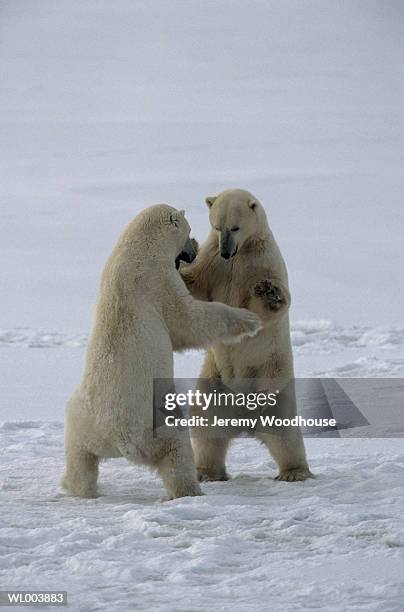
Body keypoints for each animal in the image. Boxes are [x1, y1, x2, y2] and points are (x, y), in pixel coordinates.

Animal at [61, 203, 260, 500]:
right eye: (189, 231)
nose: (194, 246)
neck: (135, 249)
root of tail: (118, 439)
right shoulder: (157, 282)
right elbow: (188, 321)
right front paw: (250, 319)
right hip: (153, 423)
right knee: (176, 447)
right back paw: (189, 491)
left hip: (82, 420)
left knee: (80, 455)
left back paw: (74, 486)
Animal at [181, 188, 314, 482]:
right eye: (216, 226)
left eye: (235, 227)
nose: (226, 252)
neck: (241, 252)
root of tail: (243, 418)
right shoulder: (213, 263)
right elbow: (196, 285)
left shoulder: (261, 261)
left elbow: (264, 307)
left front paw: (269, 292)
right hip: (214, 381)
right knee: (206, 425)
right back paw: (206, 472)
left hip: (271, 376)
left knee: (283, 431)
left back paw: (294, 472)